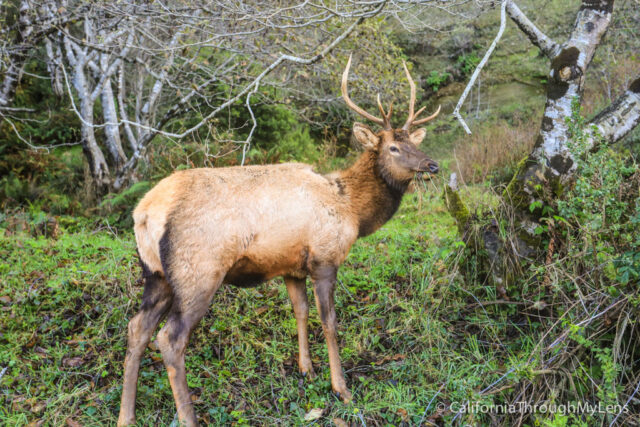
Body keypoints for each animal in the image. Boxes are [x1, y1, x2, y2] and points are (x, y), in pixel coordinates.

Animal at [116, 55, 440, 426]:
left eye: (416, 142)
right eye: (393, 147)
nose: (432, 164)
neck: (353, 210)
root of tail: (145, 212)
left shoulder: (291, 267)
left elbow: (300, 311)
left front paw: (306, 369)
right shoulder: (325, 258)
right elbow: (329, 321)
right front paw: (341, 388)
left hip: (155, 274)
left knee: (137, 328)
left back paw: (125, 416)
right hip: (197, 272)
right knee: (170, 339)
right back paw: (188, 417)